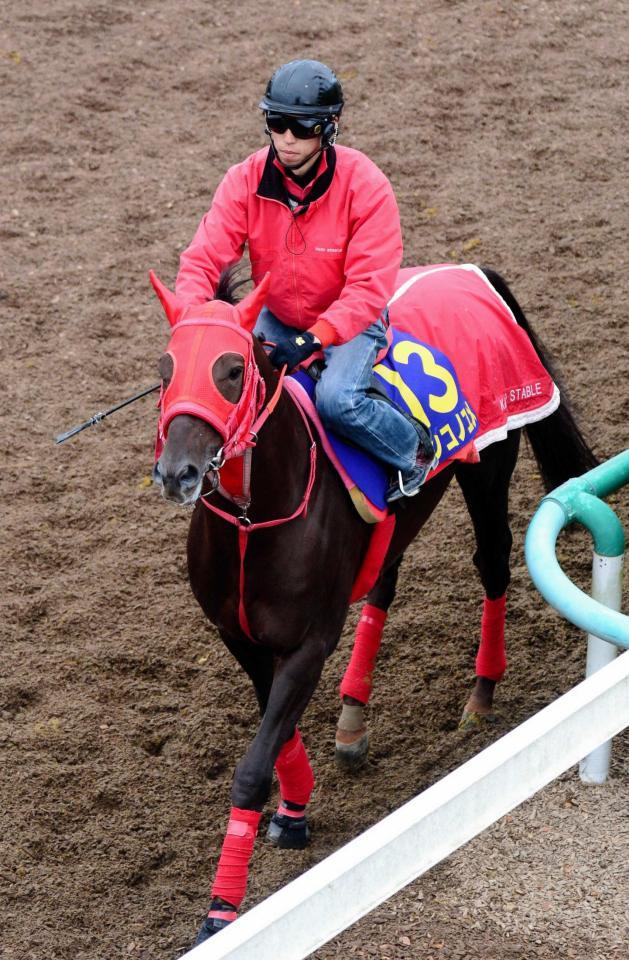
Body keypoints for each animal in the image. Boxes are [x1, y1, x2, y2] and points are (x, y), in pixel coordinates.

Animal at [150, 263, 595, 944]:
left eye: (230, 370)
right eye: (165, 369)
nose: (178, 473)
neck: (253, 520)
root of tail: (470, 271)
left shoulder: (309, 642)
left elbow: (252, 765)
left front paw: (221, 909)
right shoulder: (238, 634)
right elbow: (276, 732)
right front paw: (295, 806)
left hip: (488, 465)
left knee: (492, 563)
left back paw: (481, 694)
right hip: (400, 516)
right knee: (386, 578)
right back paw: (354, 715)